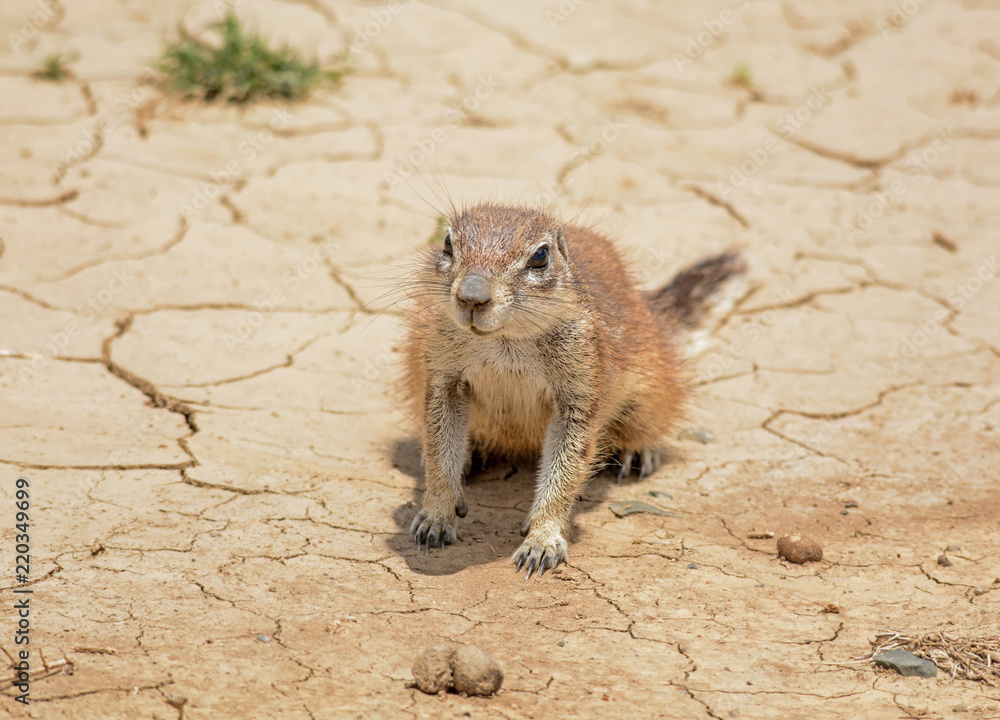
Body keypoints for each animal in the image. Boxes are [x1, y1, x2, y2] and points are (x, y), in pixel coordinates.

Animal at [402, 202, 745, 579]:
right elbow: (439, 451)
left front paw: (542, 540)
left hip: (650, 381)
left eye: (540, 256)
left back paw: (636, 452)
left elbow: (566, 468)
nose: (471, 297)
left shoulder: (581, 387)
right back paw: (469, 452)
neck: (505, 341)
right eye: (448, 243)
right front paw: (435, 516)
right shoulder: (442, 374)